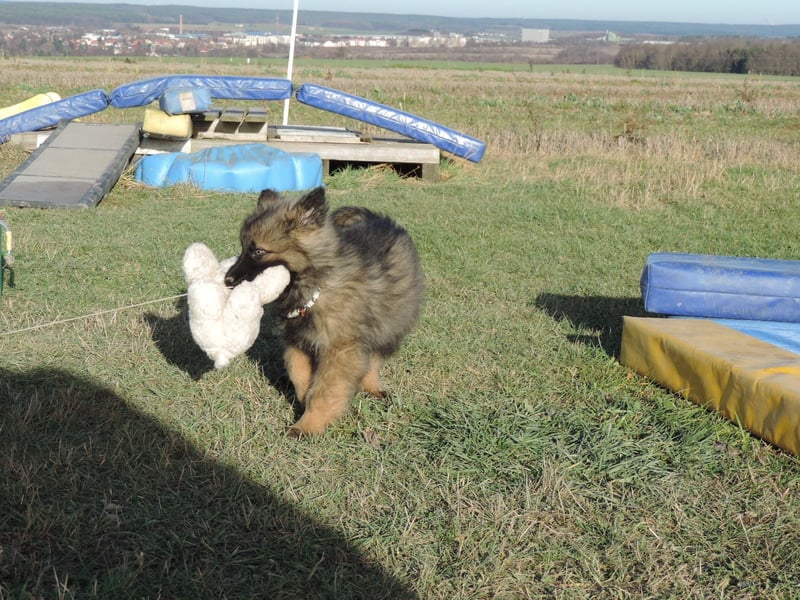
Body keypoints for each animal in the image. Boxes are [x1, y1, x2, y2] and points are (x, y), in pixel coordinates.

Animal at [225, 187, 425, 437]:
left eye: (259, 251)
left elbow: (325, 391)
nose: (227, 280)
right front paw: (303, 399)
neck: (314, 287)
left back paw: (372, 388)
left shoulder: (340, 351)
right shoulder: (297, 343)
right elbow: (299, 375)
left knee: (373, 361)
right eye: (243, 247)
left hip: (389, 328)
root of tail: (379, 219)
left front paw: (307, 425)